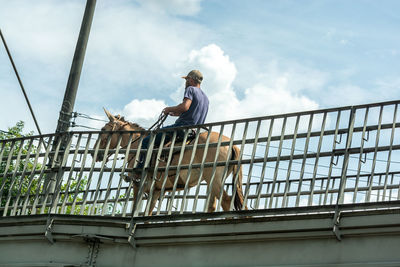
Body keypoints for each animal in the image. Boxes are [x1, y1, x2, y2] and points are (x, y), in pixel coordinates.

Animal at [95, 109, 245, 216]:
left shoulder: (137, 185)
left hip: (213, 179)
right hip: (213, 180)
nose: (94, 154)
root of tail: (232, 144)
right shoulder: (156, 191)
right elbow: (148, 213)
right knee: (213, 206)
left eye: (103, 130)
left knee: (226, 201)